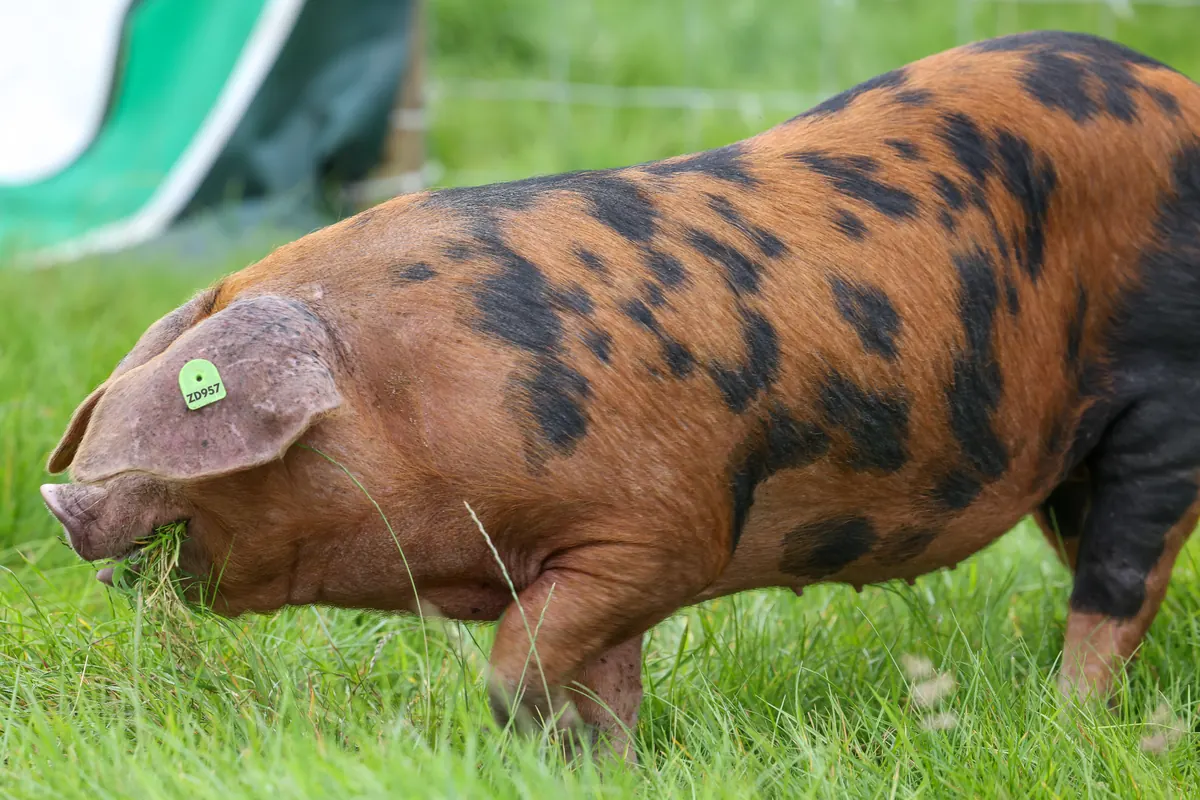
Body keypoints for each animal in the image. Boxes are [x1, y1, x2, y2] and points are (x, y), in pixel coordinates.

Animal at [41, 31, 1200, 761]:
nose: (57, 499)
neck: (418, 391)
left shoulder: (659, 530)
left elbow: (524, 661)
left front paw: (525, 737)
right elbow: (605, 679)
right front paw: (604, 762)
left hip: (1163, 403)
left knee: (1119, 582)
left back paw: (1064, 722)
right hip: (1067, 459)